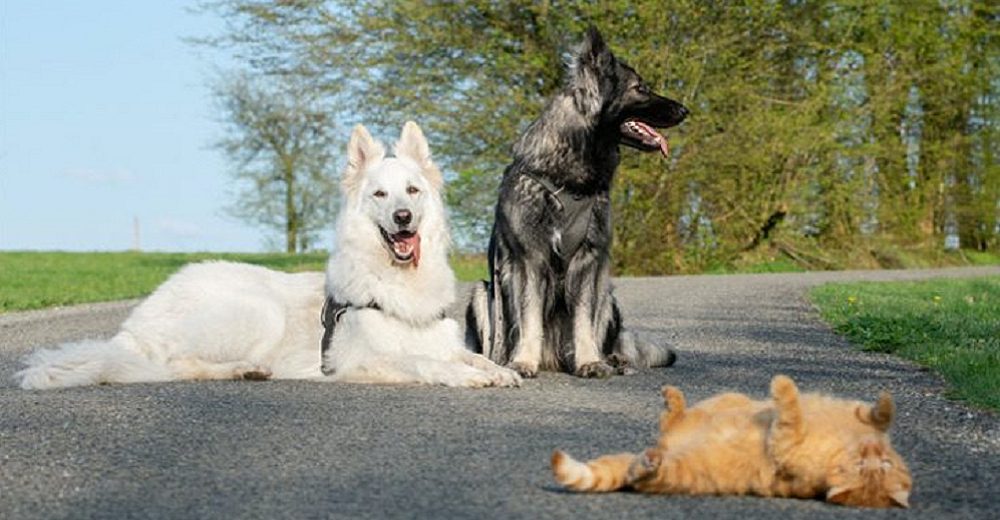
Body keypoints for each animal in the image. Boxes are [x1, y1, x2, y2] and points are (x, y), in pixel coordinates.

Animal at [17, 123, 524, 390]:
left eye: (413, 191)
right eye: (380, 194)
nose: (403, 218)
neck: (396, 283)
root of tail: (132, 327)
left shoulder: (442, 341)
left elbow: (471, 357)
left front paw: (497, 369)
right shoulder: (358, 361)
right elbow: (423, 362)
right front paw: (466, 377)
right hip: (257, 312)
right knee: (174, 365)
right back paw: (240, 369)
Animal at [462, 27, 684, 378]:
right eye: (640, 88)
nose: (685, 110)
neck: (568, 178)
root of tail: (554, 359)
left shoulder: (588, 260)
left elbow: (583, 321)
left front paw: (589, 361)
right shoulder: (529, 260)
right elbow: (529, 317)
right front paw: (523, 361)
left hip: (607, 293)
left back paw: (613, 360)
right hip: (482, 293)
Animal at [552, 374, 912, 508]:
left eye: (875, 468)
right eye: (882, 463)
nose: (872, 451)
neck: (843, 444)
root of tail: (666, 448)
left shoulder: (786, 446)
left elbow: (791, 411)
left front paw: (783, 385)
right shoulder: (862, 418)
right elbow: (880, 413)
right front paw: (883, 402)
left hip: (679, 472)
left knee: (642, 472)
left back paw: (650, 461)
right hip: (725, 399)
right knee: (671, 421)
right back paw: (672, 400)